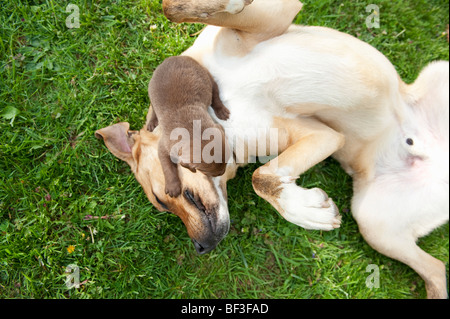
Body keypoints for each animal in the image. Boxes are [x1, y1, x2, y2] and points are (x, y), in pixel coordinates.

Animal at [148, 56, 230, 199]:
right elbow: (168, 168)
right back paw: (152, 122)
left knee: (215, 93)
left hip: (207, 77)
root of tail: (175, 57)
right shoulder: (163, 147)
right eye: (210, 174)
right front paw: (173, 186)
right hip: (151, 90)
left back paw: (221, 110)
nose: (222, 173)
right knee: (153, 108)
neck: (191, 127)